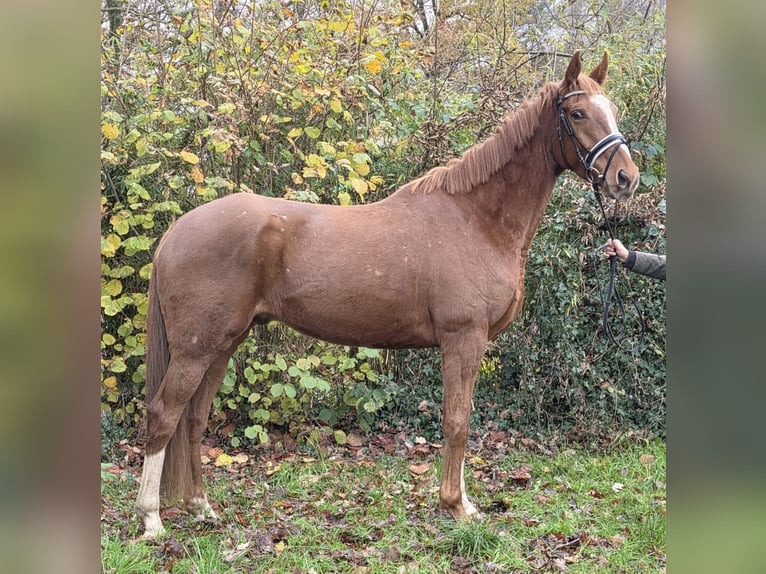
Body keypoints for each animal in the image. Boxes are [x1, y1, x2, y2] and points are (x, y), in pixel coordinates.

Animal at [135, 51, 639, 538]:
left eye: (613, 110)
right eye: (577, 113)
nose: (626, 178)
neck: (476, 219)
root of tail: (177, 230)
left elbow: (462, 418)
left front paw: (462, 502)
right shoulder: (463, 337)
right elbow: (457, 422)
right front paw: (456, 507)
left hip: (223, 344)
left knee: (194, 419)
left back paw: (201, 508)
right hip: (196, 348)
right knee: (163, 415)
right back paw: (151, 519)